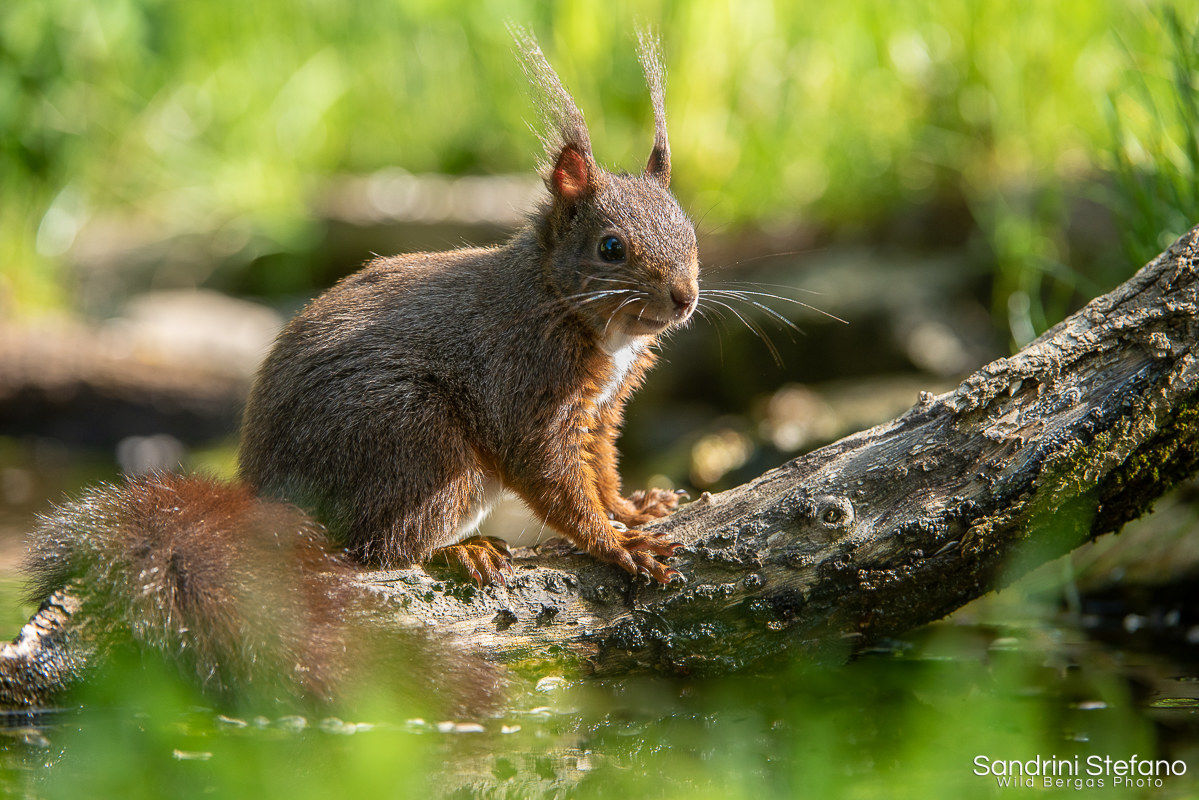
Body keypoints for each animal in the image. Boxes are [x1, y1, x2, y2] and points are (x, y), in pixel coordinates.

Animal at [16, 30, 693, 707]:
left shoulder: (600, 410)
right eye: (611, 248)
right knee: (369, 549)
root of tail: (271, 501)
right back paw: (462, 551)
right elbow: (555, 480)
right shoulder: (527, 384)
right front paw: (616, 544)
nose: (684, 298)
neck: (559, 300)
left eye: (690, 230)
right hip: (417, 442)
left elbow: (599, 470)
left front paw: (636, 507)